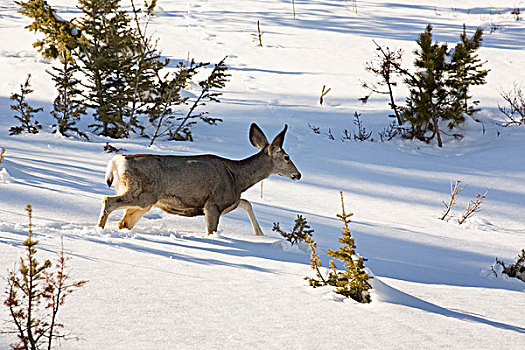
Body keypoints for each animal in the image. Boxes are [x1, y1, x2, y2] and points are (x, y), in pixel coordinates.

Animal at [96, 123, 300, 235]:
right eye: (286, 157)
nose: (297, 175)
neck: (237, 178)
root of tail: (116, 162)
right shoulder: (213, 203)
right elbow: (212, 230)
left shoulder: (229, 201)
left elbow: (246, 203)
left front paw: (260, 234)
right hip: (142, 194)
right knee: (108, 201)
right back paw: (99, 230)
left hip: (144, 202)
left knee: (123, 222)